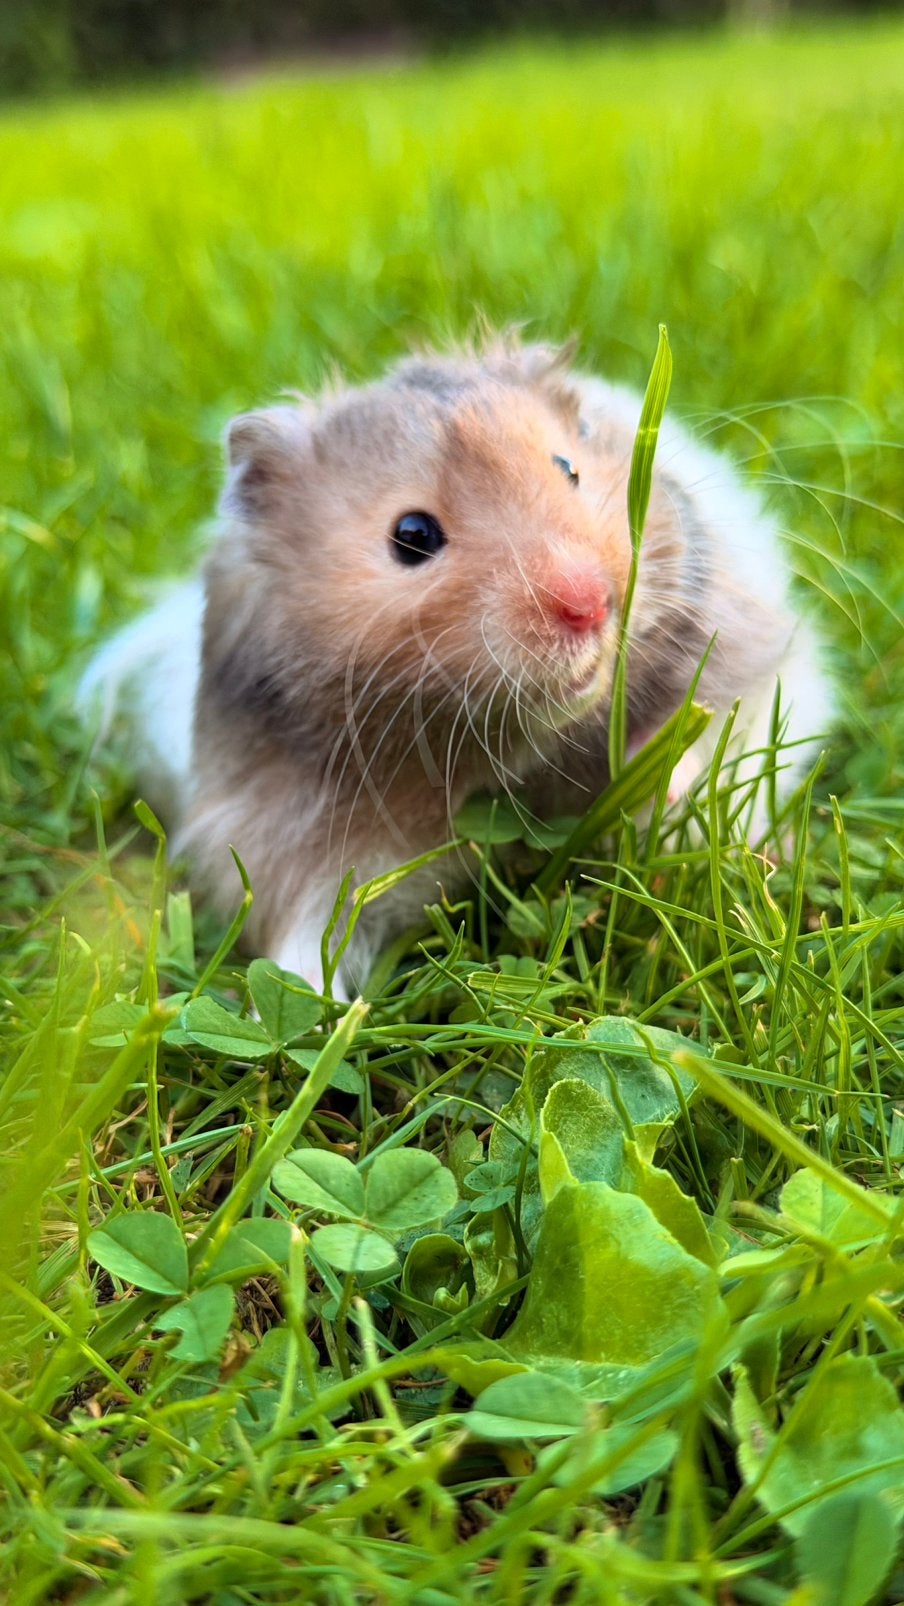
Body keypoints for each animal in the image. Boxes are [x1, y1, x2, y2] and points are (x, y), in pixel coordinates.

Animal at [78, 337, 833, 996]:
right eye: (412, 536)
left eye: (568, 467)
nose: (589, 603)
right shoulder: (288, 842)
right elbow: (304, 942)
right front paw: (315, 1022)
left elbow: (699, 732)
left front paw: (670, 790)